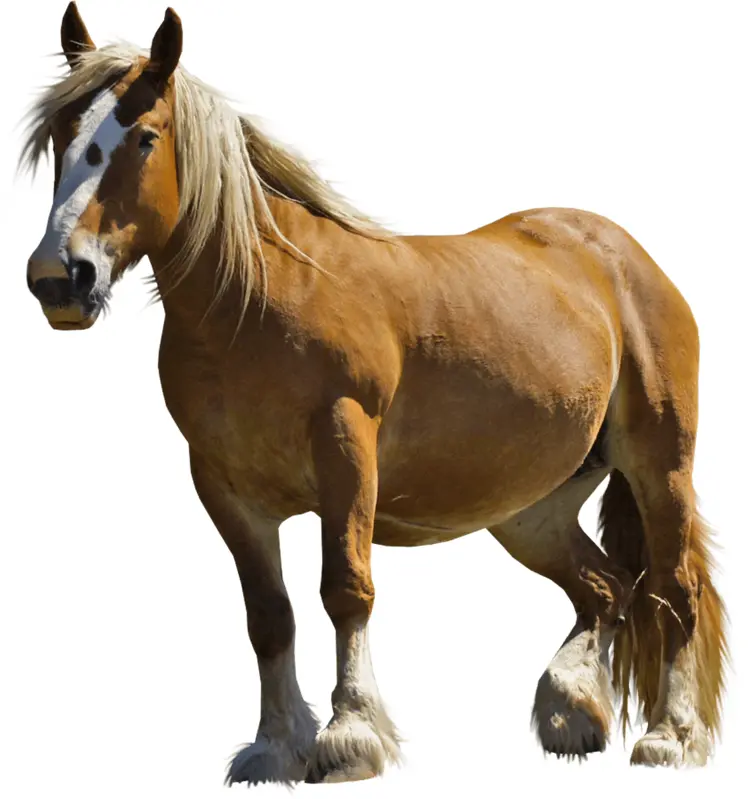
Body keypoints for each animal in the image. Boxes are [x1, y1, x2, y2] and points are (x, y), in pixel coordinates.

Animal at [21, 2, 728, 784]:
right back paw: (570, 710)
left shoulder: (345, 448)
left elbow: (345, 588)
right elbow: (268, 614)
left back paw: (669, 737)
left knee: (673, 591)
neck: (259, 300)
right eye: (60, 137)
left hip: (659, 465)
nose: (60, 278)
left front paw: (350, 735)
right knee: (605, 587)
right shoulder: (225, 487)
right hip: (530, 509)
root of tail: (626, 257)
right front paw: (275, 746)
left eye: (144, 137)